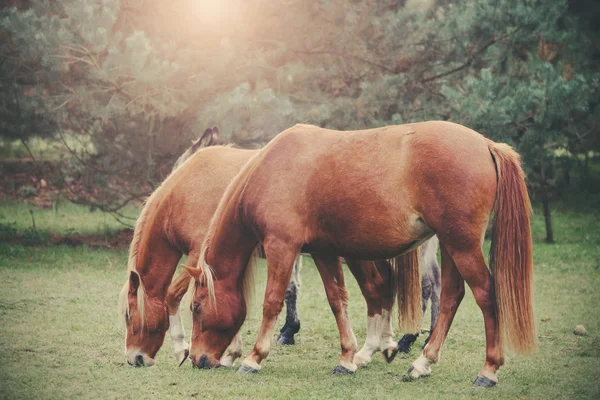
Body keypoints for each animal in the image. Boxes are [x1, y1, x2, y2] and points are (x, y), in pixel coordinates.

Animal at [118, 128, 406, 368]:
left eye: (128, 315)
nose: (135, 358)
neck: (187, 191)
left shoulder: (199, 255)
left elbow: (172, 295)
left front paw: (184, 348)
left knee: (377, 287)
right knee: (385, 284)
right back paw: (385, 345)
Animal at [185, 120, 536, 386]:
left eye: (196, 307)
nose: (198, 359)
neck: (274, 168)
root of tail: (486, 144)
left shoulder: (282, 248)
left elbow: (273, 301)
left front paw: (254, 358)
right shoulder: (324, 251)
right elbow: (337, 301)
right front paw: (347, 358)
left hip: (461, 245)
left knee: (485, 294)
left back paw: (488, 370)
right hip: (452, 247)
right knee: (451, 296)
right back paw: (422, 363)